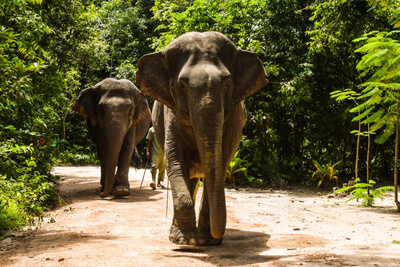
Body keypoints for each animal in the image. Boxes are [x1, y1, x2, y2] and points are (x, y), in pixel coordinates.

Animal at [135, 31, 268, 247]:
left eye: (227, 84)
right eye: (182, 85)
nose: (217, 236)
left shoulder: (232, 120)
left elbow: (221, 163)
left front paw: (207, 241)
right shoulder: (171, 113)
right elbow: (175, 160)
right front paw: (186, 241)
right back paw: (182, 236)